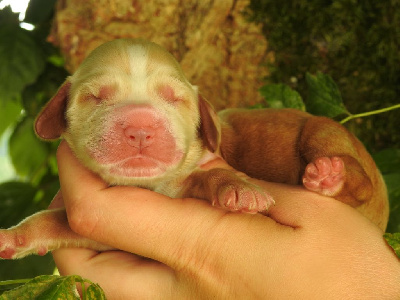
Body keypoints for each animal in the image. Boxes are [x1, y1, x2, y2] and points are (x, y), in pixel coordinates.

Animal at [0, 38, 388, 258]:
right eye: (95, 97)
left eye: (176, 98)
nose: (140, 127)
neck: (151, 186)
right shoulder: (107, 238)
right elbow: (52, 219)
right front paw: (15, 236)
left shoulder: (199, 171)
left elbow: (211, 175)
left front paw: (240, 190)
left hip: (325, 133)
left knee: (358, 181)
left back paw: (329, 177)